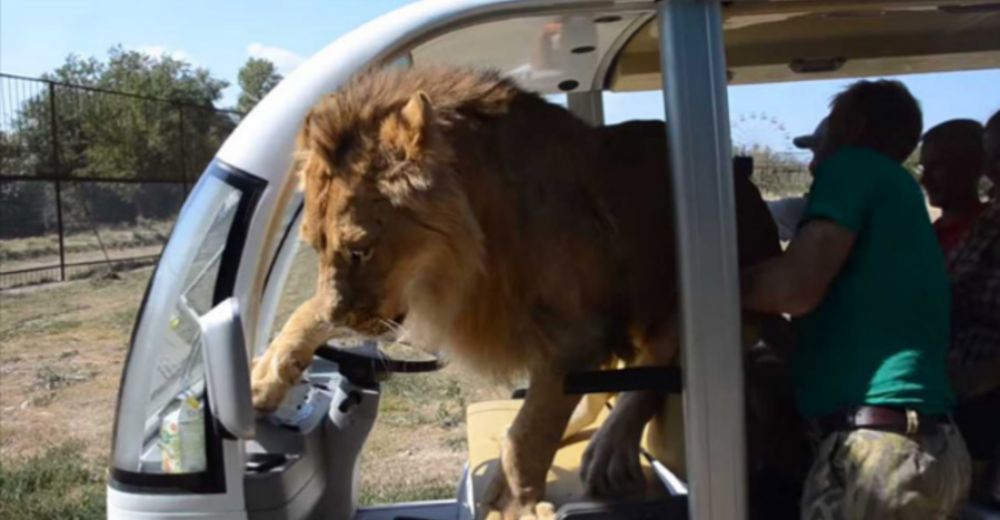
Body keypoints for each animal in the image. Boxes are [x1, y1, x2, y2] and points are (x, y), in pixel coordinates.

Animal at [252, 67, 796, 516]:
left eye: (360, 250)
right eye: (314, 246)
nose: (347, 321)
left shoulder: (578, 336)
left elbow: (527, 437)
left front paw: (517, 502)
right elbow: (308, 309)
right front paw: (264, 377)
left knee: (655, 369)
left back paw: (608, 453)